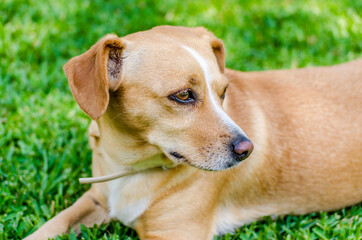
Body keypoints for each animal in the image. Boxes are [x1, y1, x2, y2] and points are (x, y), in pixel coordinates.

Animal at [25, 26, 362, 240]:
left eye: (224, 92)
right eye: (183, 95)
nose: (247, 150)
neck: (130, 165)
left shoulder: (174, 234)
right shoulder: (95, 200)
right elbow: (49, 227)